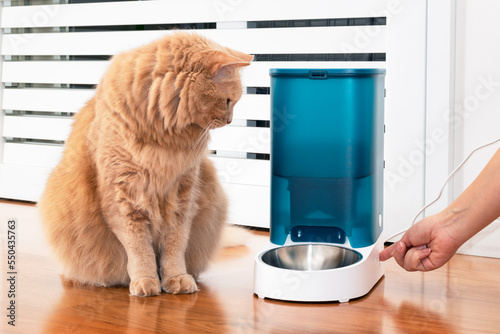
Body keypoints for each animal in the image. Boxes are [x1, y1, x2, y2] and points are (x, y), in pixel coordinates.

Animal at [38, 32, 254, 298]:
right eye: (228, 101)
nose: (230, 120)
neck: (163, 136)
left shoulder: (182, 199)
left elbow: (174, 248)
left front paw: (176, 279)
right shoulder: (123, 199)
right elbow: (140, 250)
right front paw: (145, 281)